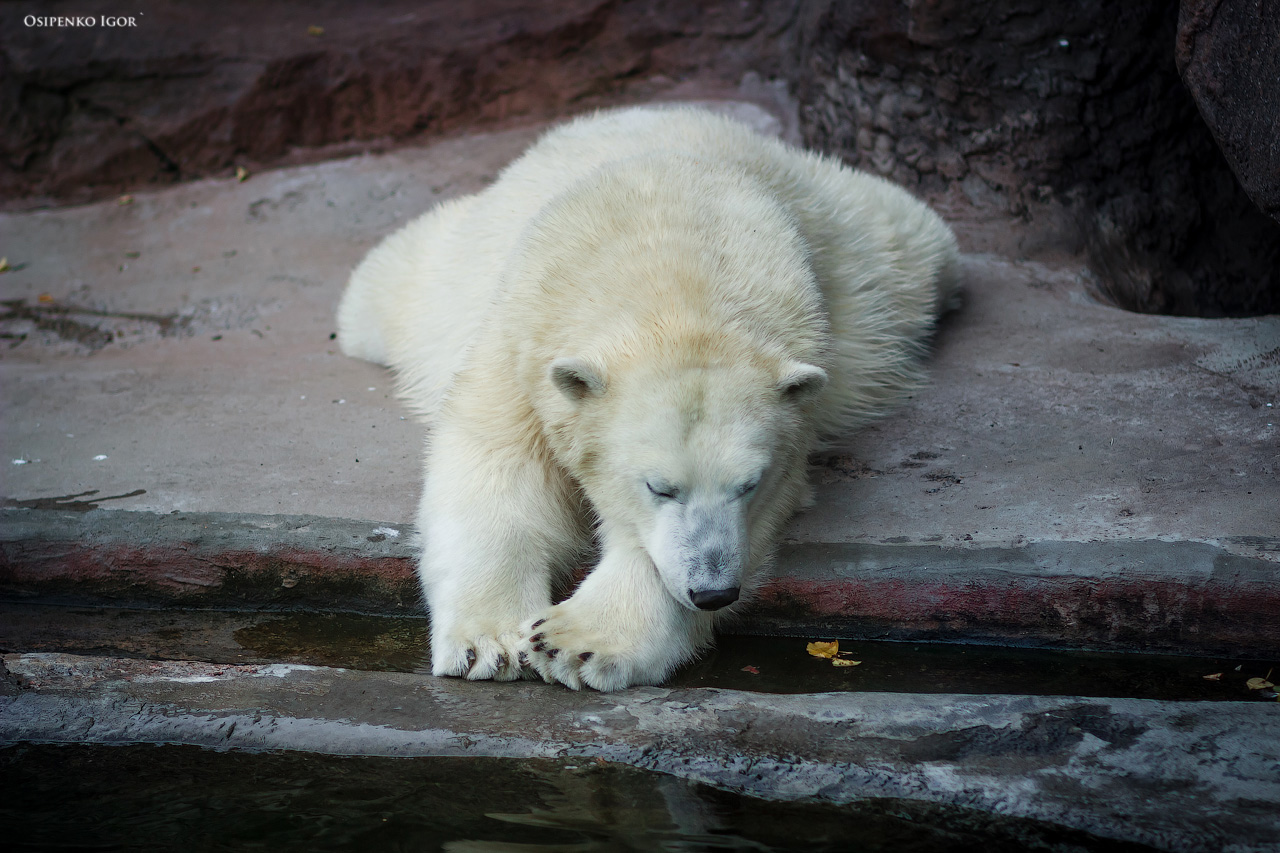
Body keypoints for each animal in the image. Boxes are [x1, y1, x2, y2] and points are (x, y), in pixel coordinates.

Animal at [340, 106, 962, 691]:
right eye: (659, 487)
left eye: (748, 484)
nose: (713, 591)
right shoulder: (519, 346)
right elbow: (497, 470)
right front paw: (490, 644)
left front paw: (576, 642)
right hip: (449, 272)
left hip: (865, 252)